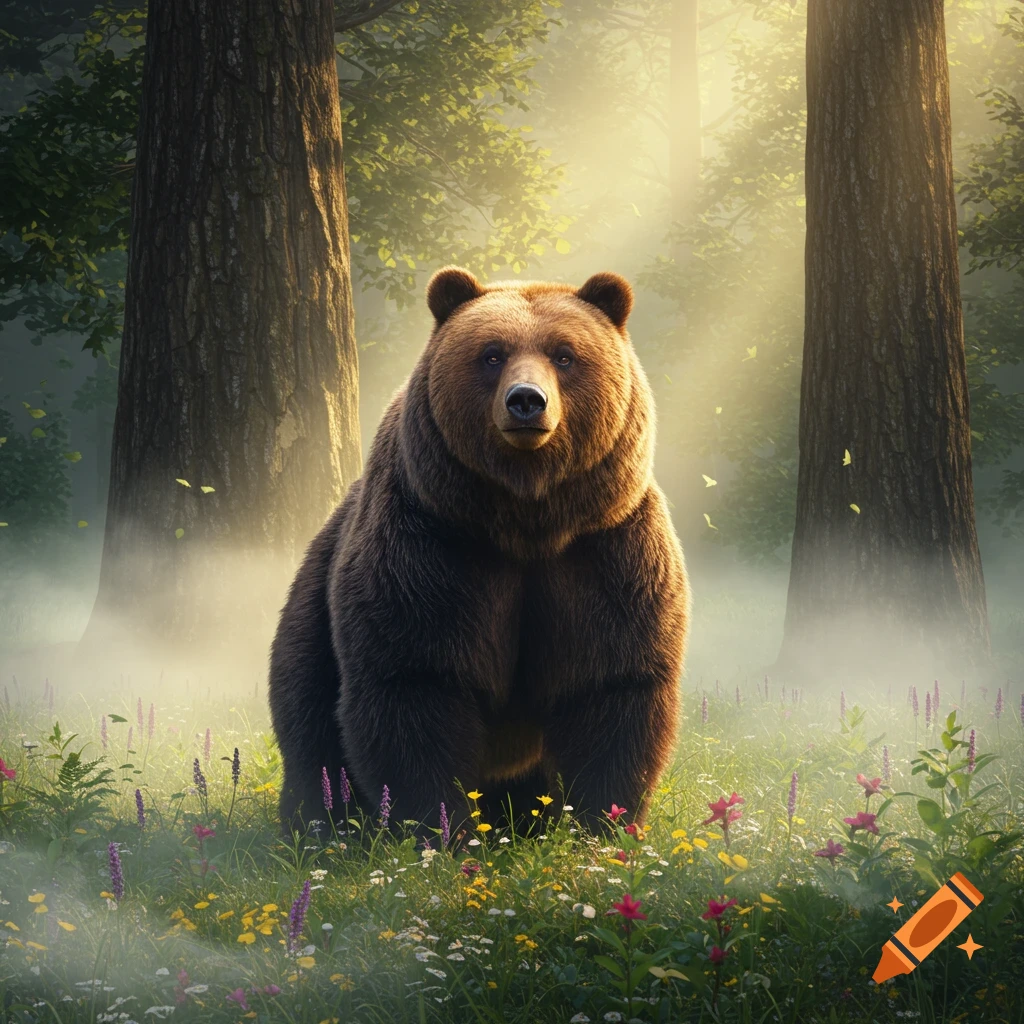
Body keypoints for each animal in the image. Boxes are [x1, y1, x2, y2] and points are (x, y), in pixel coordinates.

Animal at [268, 266, 689, 840]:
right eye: (491, 354)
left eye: (565, 354)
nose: (526, 400)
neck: (527, 521)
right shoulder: (434, 549)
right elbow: (417, 682)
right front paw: (437, 828)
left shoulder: (605, 552)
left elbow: (613, 685)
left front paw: (602, 823)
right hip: (313, 609)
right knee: (308, 717)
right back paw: (321, 822)